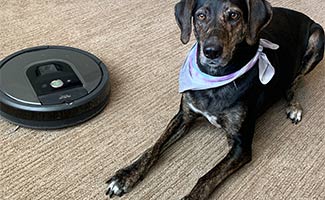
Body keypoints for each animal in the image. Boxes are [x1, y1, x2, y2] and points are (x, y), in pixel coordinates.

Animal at [105, 0, 322, 199]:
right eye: (201, 16)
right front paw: (125, 175)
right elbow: (154, 147)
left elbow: (207, 178)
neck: (213, 79)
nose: (211, 51)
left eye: (234, 15)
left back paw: (294, 106)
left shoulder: (240, 144)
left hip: (318, 38)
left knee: (294, 81)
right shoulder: (184, 116)